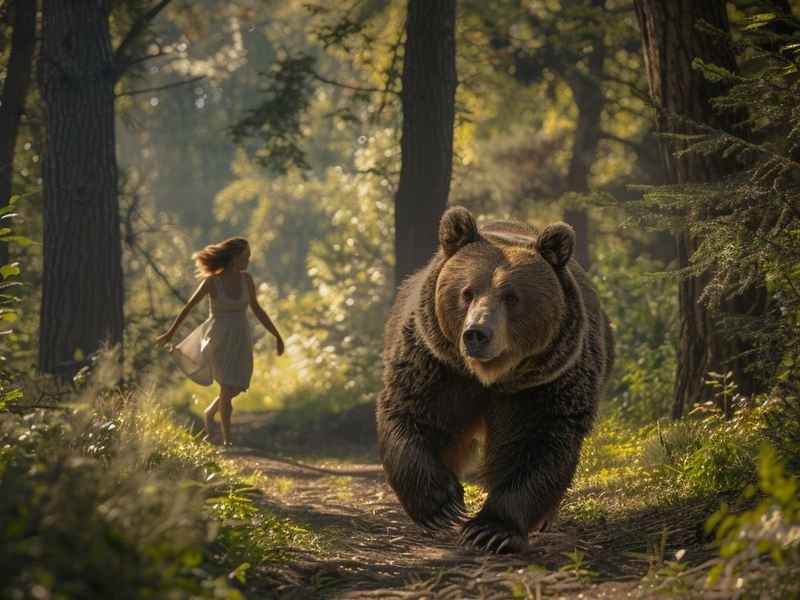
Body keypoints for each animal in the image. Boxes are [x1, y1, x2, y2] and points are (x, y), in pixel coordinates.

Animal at [376, 206, 613, 554]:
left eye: (511, 297)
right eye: (467, 292)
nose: (477, 334)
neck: (490, 377)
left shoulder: (546, 383)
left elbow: (537, 442)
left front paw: (490, 530)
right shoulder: (437, 364)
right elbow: (412, 414)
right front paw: (442, 505)